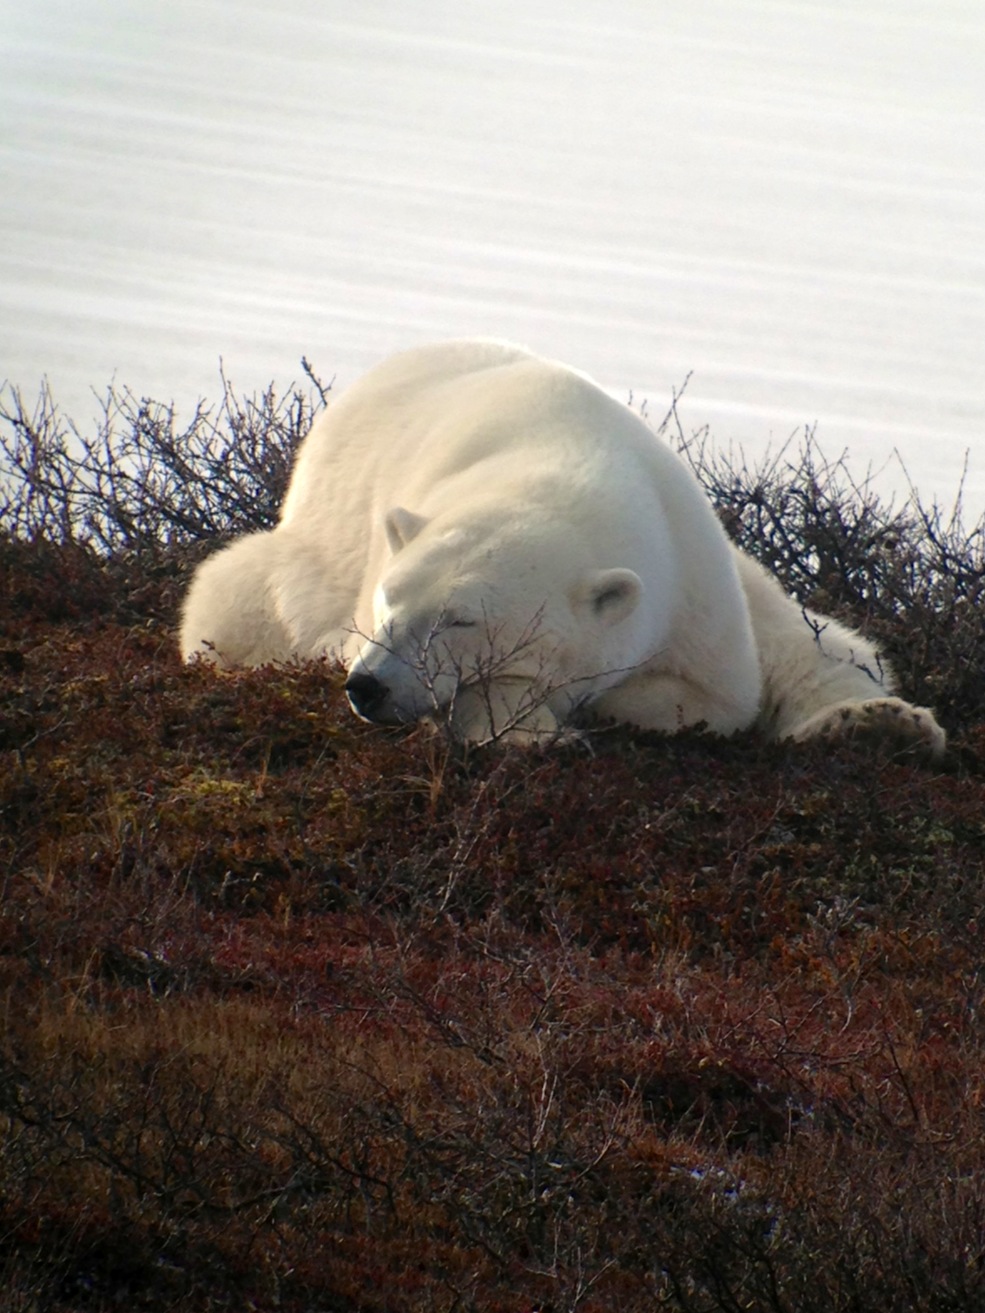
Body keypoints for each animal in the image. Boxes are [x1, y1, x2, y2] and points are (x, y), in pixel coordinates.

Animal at [180, 339, 945, 756]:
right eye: (388, 601)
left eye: (460, 620)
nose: (370, 685)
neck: (567, 457)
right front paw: (535, 728)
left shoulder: (693, 584)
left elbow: (717, 696)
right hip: (293, 568)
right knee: (231, 602)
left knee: (815, 641)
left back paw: (879, 723)